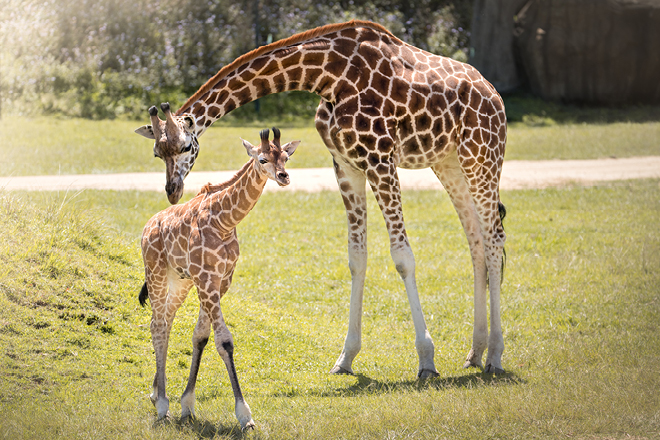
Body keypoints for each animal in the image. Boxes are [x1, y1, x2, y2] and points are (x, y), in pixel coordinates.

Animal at [134, 20, 508, 377]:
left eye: (186, 146)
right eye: (156, 152)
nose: (172, 191)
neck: (328, 77)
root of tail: (495, 94)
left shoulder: (381, 160)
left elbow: (403, 257)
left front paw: (426, 359)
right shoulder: (346, 165)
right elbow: (357, 258)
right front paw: (346, 358)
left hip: (481, 156)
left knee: (494, 240)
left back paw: (495, 355)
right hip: (448, 163)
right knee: (476, 241)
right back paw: (475, 352)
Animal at [139, 122, 299, 429]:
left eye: (286, 157)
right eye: (263, 159)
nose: (284, 177)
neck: (225, 222)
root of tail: (147, 226)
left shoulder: (220, 280)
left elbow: (200, 336)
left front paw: (187, 404)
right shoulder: (206, 279)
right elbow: (224, 341)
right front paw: (244, 415)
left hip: (181, 281)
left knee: (164, 320)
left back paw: (155, 393)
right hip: (156, 272)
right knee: (158, 325)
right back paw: (162, 404)